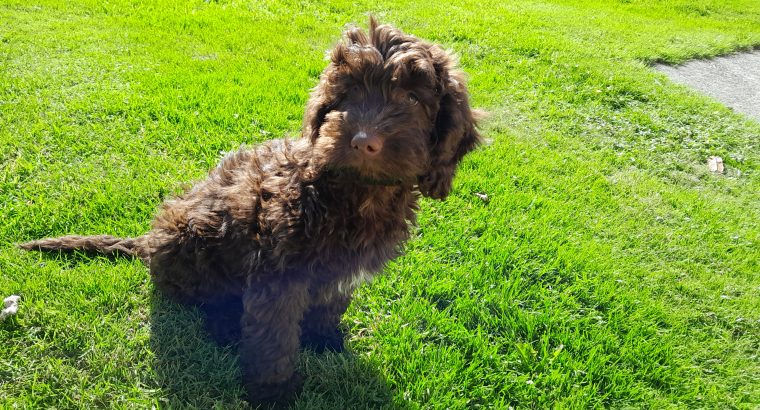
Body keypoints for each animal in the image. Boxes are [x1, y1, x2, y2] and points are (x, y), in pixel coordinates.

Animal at [20, 18, 480, 404]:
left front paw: (326, 341)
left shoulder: (338, 272)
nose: (364, 140)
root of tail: (148, 241)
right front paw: (273, 393)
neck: (350, 193)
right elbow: (273, 338)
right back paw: (224, 327)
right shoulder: (277, 274)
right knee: (201, 299)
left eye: (413, 97)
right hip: (193, 238)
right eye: (346, 94)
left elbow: (329, 303)